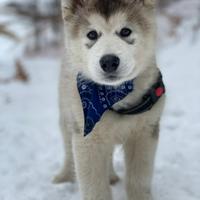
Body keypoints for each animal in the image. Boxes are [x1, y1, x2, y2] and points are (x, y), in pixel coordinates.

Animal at [54, 0, 165, 200]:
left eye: (125, 31)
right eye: (92, 34)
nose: (109, 61)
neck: (114, 97)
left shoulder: (145, 134)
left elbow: (139, 180)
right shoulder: (87, 140)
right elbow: (95, 188)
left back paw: (111, 176)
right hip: (67, 114)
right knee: (67, 148)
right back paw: (64, 176)